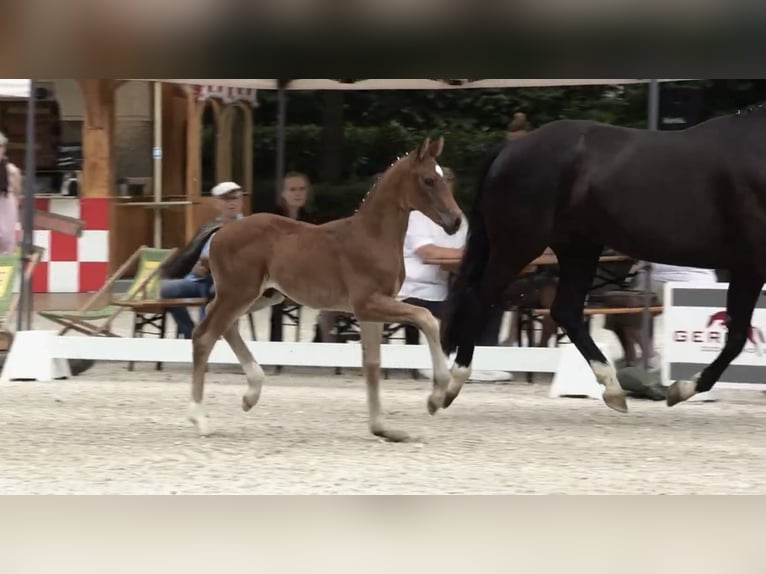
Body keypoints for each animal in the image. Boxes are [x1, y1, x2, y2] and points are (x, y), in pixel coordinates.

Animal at [189, 137, 472, 444]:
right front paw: (437, 396)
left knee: (222, 325)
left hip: (262, 295)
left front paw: (382, 429)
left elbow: (372, 363)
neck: (373, 236)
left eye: (444, 178)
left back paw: (251, 393)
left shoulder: (372, 311)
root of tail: (219, 233)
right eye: (429, 180)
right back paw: (200, 419)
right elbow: (427, 318)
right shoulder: (368, 303)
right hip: (239, 293)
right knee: (204, 335)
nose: (456, 221)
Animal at [440, 109, 766, 414]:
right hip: (518, 247)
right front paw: (680, 390)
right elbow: (737, 337)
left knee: (565, 311)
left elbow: (737, 335)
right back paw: (450, 386)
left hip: (578, 249)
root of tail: (511, 149)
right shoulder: (750, 267)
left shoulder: (745, 269)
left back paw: (613, 389)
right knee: (478, 300)